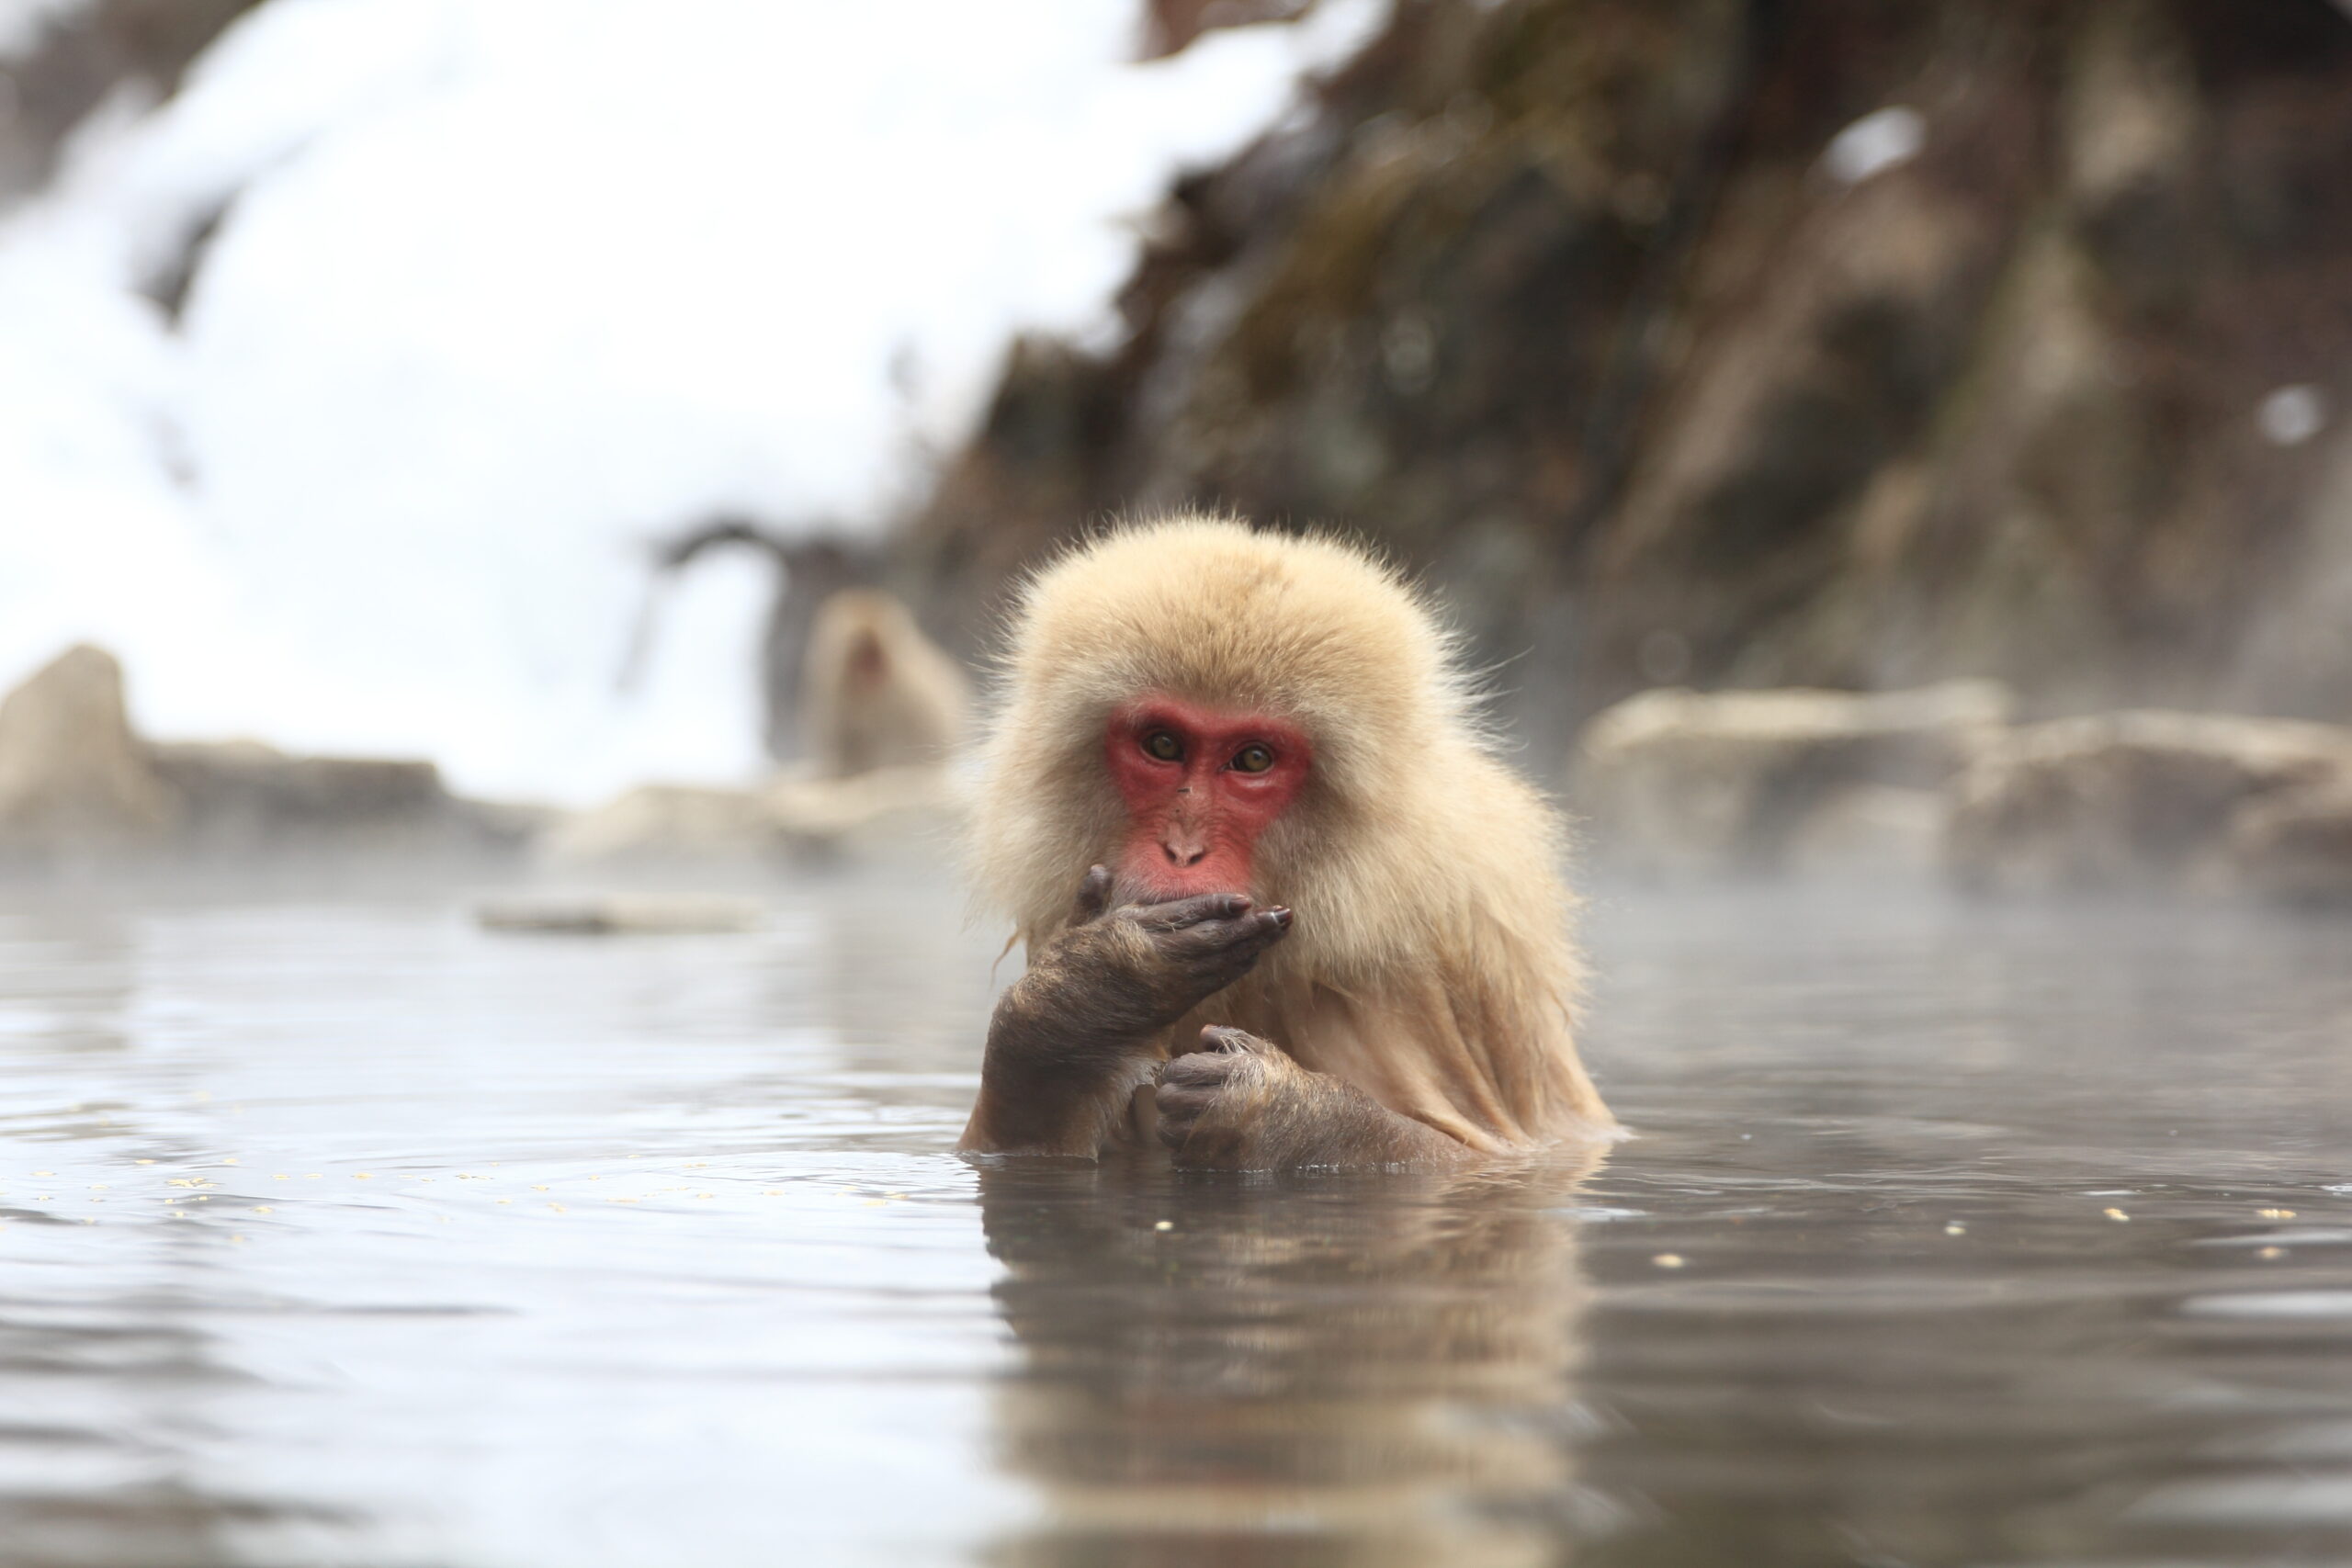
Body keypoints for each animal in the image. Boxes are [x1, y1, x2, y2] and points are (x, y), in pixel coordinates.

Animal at [958, 516, 1613, 1170]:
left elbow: (1482, 1157)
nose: (1183, 852)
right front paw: (1085, 1000)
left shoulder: (1450, 940)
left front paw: (1276, 1112)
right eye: (1163, 745)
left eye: (1252, 759)